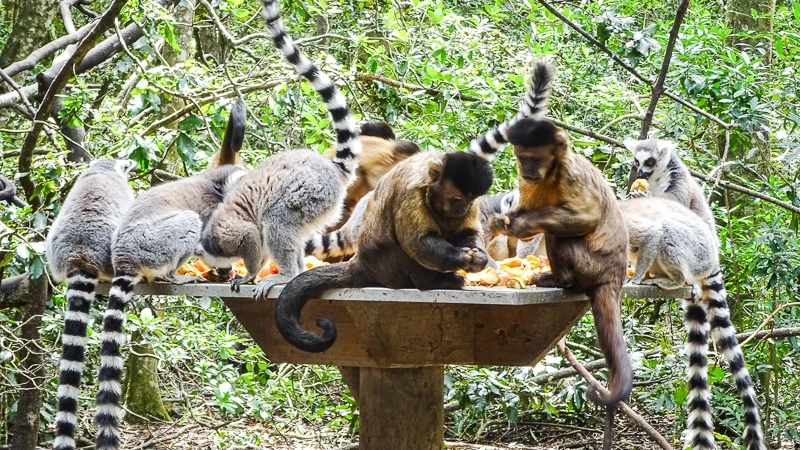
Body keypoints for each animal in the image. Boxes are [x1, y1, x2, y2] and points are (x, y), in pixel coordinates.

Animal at [197, 0, 363, 297]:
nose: (224, 273)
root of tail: (334, 170)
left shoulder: (235, 229)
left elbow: (253, 237)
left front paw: (250, 274)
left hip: (310, 193)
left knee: (277, 220)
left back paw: (287, 275)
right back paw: (294, 273)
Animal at [275, 150, 494, 353]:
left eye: (470, 199)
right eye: (457, 198)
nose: (462, 209)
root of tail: (362, 262)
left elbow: (466, 232)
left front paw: (479, 257)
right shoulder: (412, 190)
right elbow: (418, 242)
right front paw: (462, 258)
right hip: (387, 267)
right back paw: (431, 282)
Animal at [621, 197, 765, 450]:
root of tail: (713, 258)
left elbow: (652, 234)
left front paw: (635, 279)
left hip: (695, 255)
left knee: (666, 232)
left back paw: (670, 280)